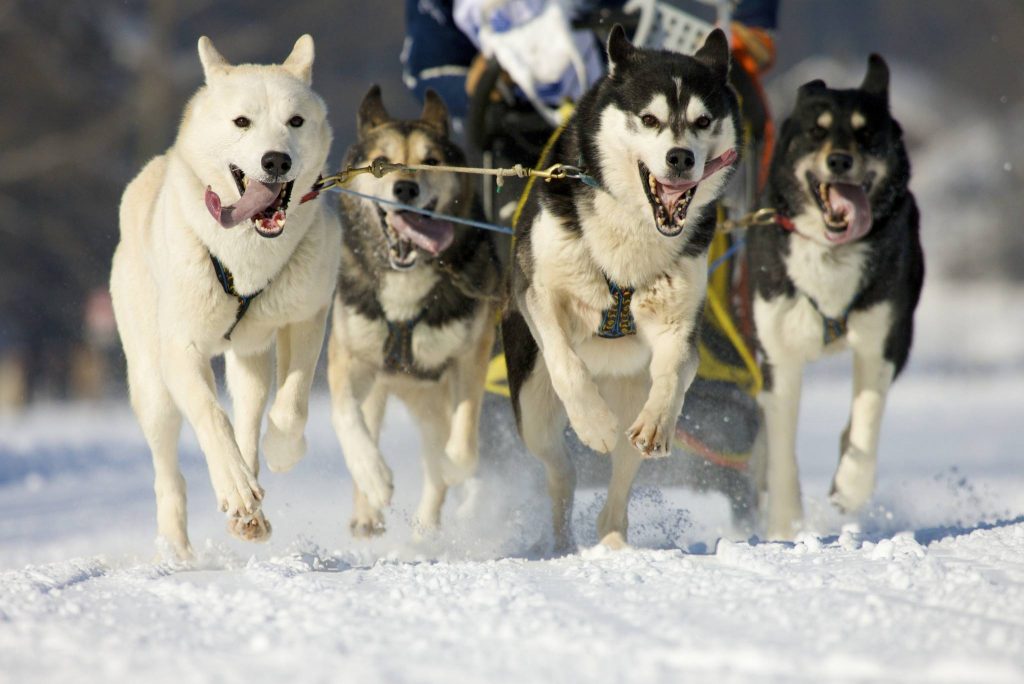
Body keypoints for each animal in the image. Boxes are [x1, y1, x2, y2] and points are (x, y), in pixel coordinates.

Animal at [109, 36, 339, 557]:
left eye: (295, 121)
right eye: (242, 122)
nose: (276, 160)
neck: (247, 257)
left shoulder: (308, 315)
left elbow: (292, 404)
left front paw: (282, 450)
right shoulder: (181, 350)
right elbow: (213, 419)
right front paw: (233, 485)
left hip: (249, 358)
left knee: (249, 420)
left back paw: (252, 512)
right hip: (151, 387)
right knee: (169, 475)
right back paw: (180, 548)